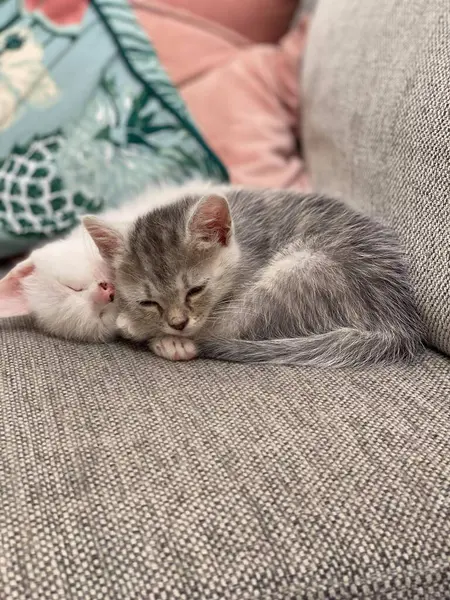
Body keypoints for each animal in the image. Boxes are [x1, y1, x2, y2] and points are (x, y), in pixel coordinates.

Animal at [85, 188, 426, 366]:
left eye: (195, 290)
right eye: (148, 302)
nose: (177, 324)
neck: (241, 240)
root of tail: (397, 324)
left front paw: (146, 329)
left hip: (299, 269)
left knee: (221, 331)